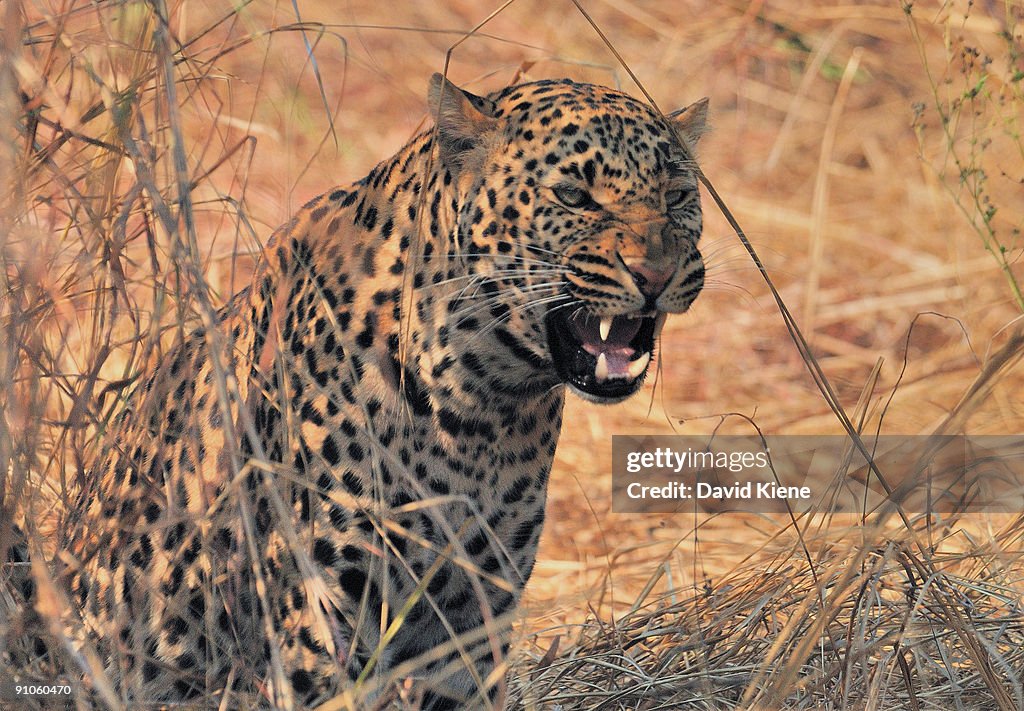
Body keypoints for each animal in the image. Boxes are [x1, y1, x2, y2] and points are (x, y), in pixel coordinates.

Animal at [16, 75, 708, 708]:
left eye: (678, 196)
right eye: (573, 196)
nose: (656, 275)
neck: (484, 405)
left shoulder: (473, 623)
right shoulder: (320, 619)